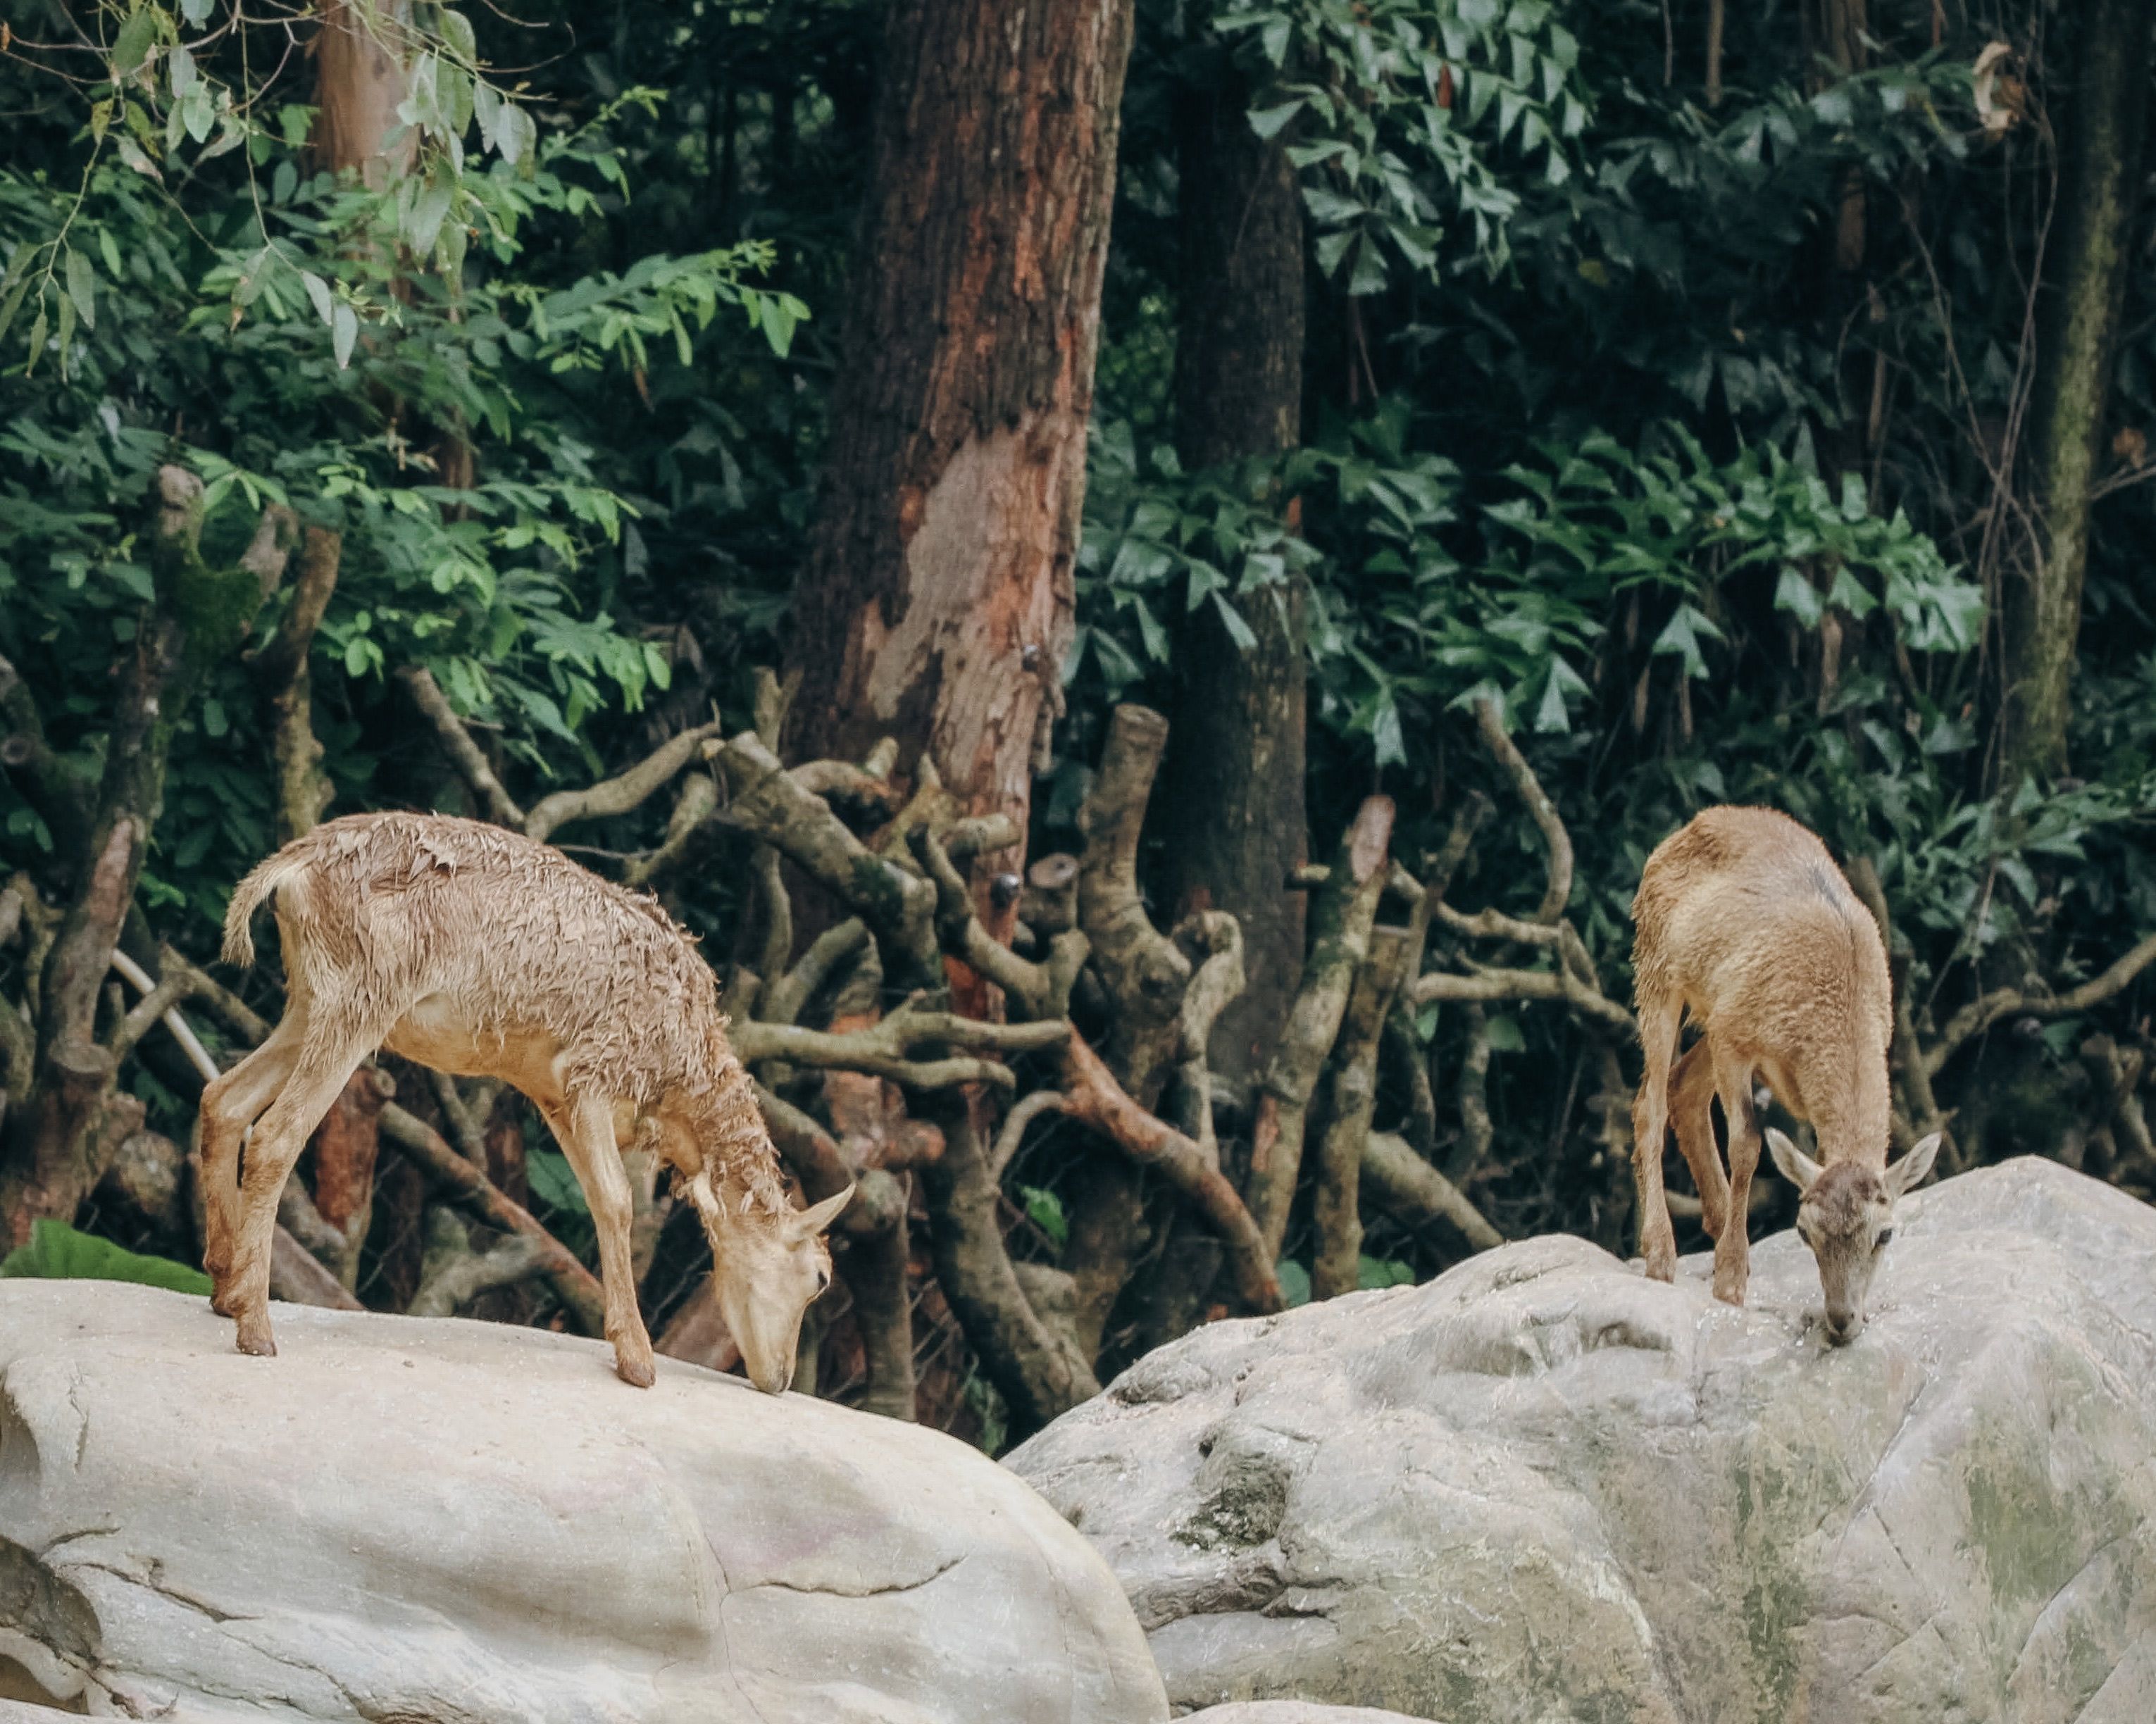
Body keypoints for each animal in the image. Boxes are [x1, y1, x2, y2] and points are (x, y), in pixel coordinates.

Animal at [206, 810, 852, 1391]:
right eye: (820, 1277)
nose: (779, 1380)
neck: (682, 1074)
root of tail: (291, 868)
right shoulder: (592, 1074)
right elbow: (617, 1201)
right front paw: (638, 1362)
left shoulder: (555, 1096)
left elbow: (595, 1201)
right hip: (359, 1003)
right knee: (276, 1134)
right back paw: (256, 1328)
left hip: (309, 1002)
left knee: (223, 1098)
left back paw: (223, 1288)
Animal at [1630, 805, 1939, 1344]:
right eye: (1801, 1231)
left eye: (1885, 1233)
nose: (1842, 1321)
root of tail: (1680, 832)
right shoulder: (1736, 1037)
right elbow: (1748, 1144)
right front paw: (1730, 1283)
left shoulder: (1732, 1026)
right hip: (1655, 967)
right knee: (1650, 1103)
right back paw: (1661, 1256)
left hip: (1709, 1007)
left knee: (1681, 1088)